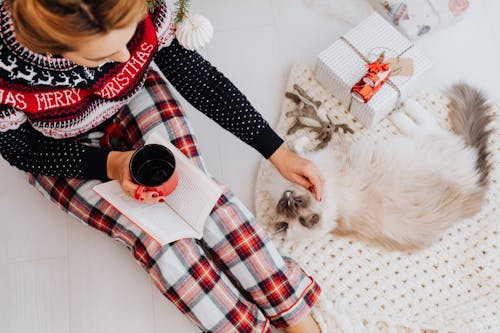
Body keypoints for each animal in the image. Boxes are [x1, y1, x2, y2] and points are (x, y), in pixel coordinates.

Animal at [268, 84, 494, 250]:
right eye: (288, 204)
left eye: (294, 202)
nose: (287, 195)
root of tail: (471, 190)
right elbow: (299, 150)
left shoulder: (319, 159)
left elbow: (298, 147)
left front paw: (305, 139)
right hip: (423, 142)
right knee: (426, 124)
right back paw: (401, 113)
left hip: (424, 142)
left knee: (428, 123)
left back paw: (403, 110)